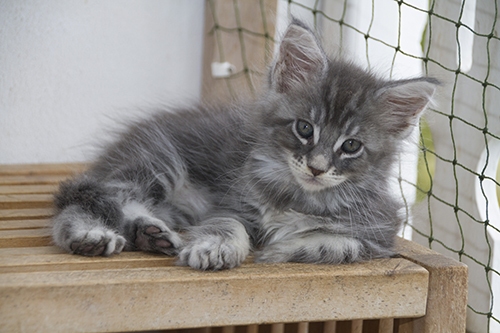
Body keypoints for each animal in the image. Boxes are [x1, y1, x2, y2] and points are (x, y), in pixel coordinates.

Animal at [51, 19, 438, 270]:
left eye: (352, 146)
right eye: (304, 128)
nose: (316, 168)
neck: (296, 196)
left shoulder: (380, 231)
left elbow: (335, 243)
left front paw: (281, 248)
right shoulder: (230, 202)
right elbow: (227, 225)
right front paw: (215, 247)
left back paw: (148, 233)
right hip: (158, 164)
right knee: (84, 197)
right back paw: (89, 235)